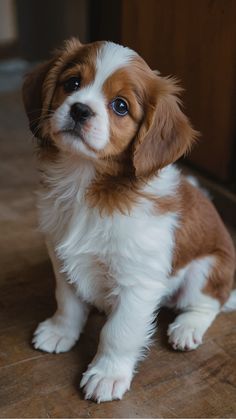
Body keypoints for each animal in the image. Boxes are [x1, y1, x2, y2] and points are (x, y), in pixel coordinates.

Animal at [21, 38, 234, 404]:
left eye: (120, 106)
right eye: (72, 83)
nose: (80, 110)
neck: (86, 184)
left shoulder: (138, 283)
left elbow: (118, 332)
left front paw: (107, 374)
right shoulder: (62, 261)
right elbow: (68, 303)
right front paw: (61, 332)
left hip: (205, 271)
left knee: (209, 304)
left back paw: (187, 328)